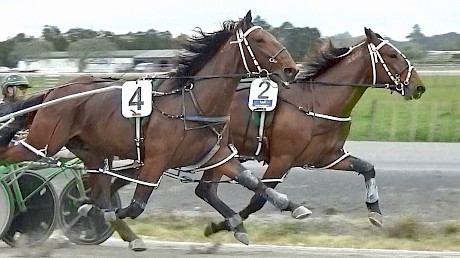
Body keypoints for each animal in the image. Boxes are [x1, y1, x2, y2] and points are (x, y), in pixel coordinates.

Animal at [0, 11, 310, 249]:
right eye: (260, 40)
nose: (292, 70)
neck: (192, 101)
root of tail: (54, 91)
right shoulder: (156, 160)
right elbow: (135, 206)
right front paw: (96, 213)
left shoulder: (216, 155)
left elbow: (253, 181)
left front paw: (292, 207)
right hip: (43, 143)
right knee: (8, 155)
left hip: (91, 153)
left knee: (97, 186)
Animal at [201, 27, 428, 236]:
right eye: (392, 54)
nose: (418, 87)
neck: (317, 101)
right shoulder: (282, 159)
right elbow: (258, 198)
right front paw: (227, 224)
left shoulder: (327, 156)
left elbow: (367, 168)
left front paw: (375, 213)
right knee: (206, 190)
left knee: (205, 191)